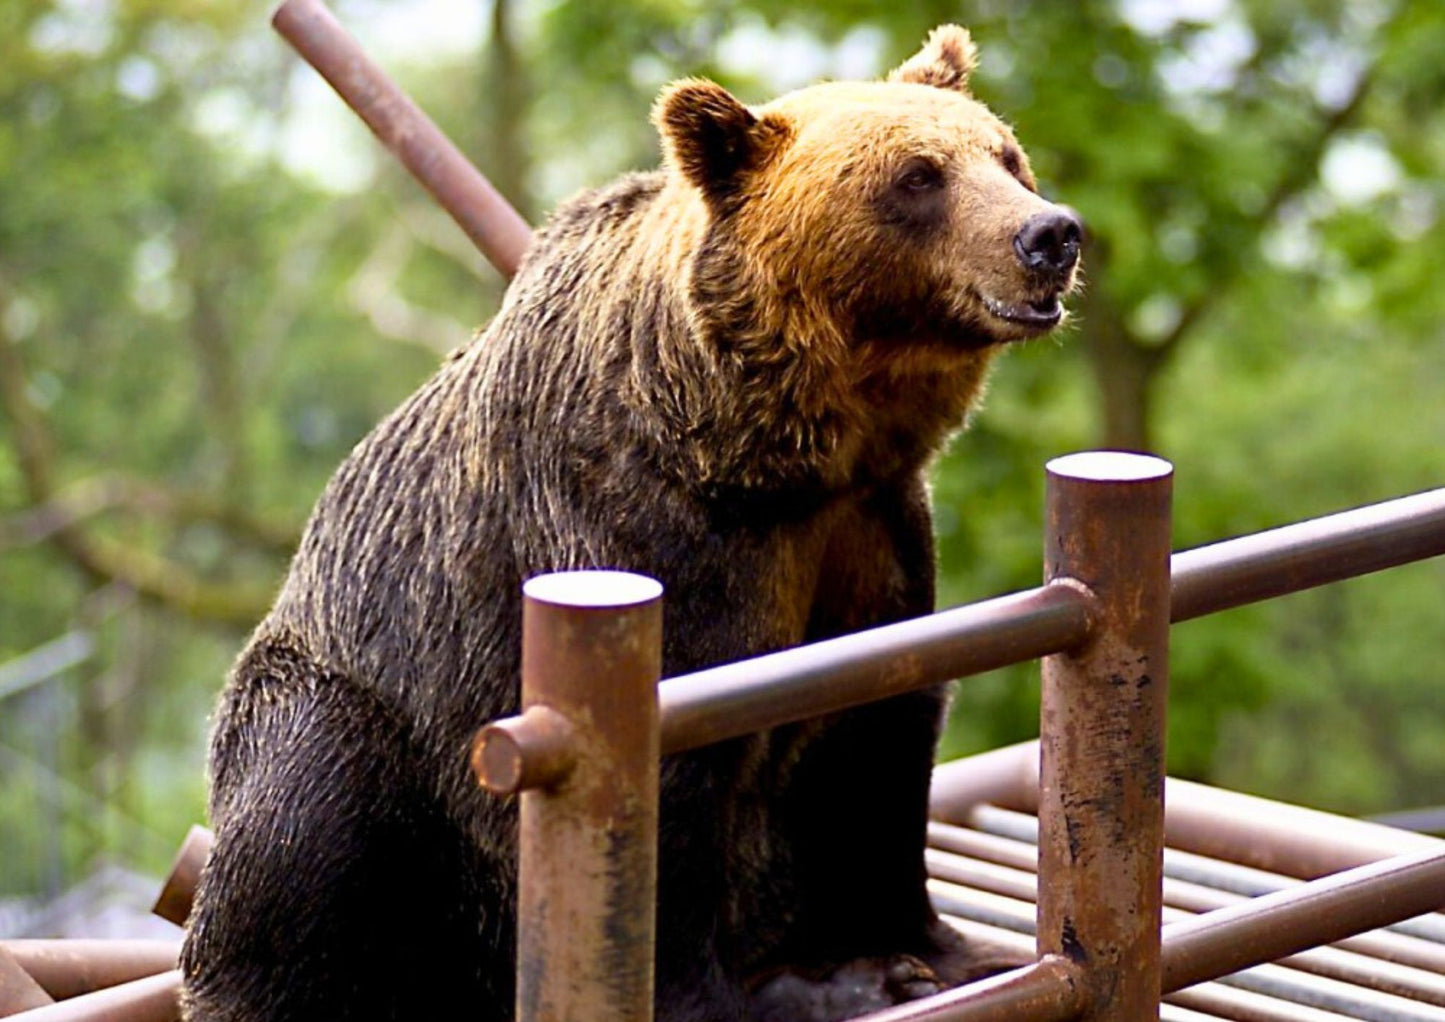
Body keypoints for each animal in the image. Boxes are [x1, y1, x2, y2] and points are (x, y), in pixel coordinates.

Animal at [180, 24, 1080, 1022]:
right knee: (308, 823)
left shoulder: (870, 533)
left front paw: (934, 950)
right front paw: (735, 993)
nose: (1049, 234)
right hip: (354, 717)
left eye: (1004, 156)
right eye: (917, 176)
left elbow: (879, 732)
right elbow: (667, 795)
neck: (776, 452)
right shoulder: (640, 540)